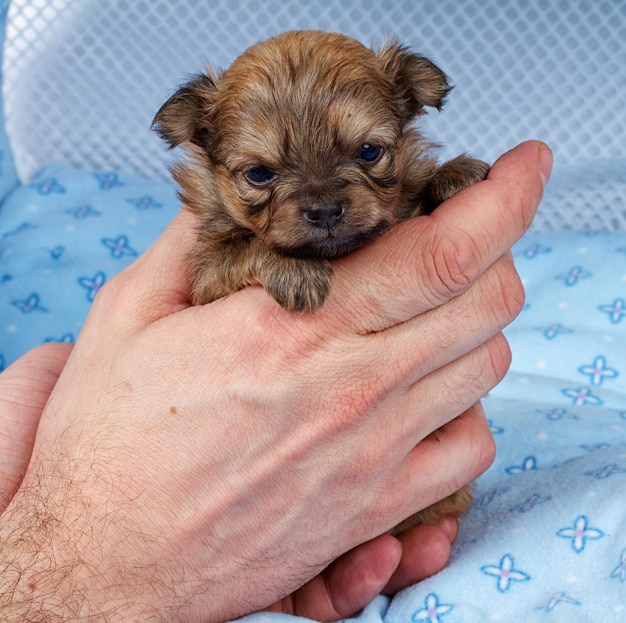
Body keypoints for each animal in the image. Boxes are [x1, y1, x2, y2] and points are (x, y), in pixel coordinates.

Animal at [152, 29, 488, 532]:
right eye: (259, 174)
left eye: (368, 152)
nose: (325, 209)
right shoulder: (208, 272)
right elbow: (247, 246)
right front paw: (296, 271)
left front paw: (454, 175)